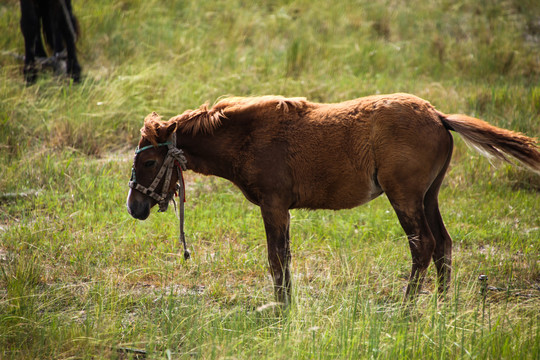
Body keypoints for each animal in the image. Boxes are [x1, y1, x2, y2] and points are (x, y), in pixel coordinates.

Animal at [127, 93, 540, 304]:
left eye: (148, 161)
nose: (134, 207)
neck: (248, 135)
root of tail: (438, 115)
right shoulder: (281, 209)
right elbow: (284, 258)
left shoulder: (273, 205)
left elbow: (276, 259)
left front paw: (282, 311)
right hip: (429, 197)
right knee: (443, 245)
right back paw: (441, 306)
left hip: (405, 197)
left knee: (422, 245)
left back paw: (407, 309)